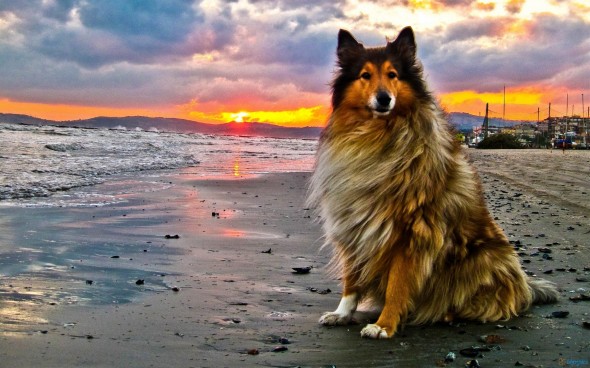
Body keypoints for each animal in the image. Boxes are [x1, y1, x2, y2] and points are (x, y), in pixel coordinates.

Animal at [308, 26, 560, 340]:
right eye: (365, 75)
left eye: (393, 74)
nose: (383, 99)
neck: (376, 135)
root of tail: (525, 288)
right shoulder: (354, 223)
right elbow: (351, 281)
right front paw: (342, 314)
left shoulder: (412, 232)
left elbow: (397, 285)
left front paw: (384, 325)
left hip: (483, 259)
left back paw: (447, 313)